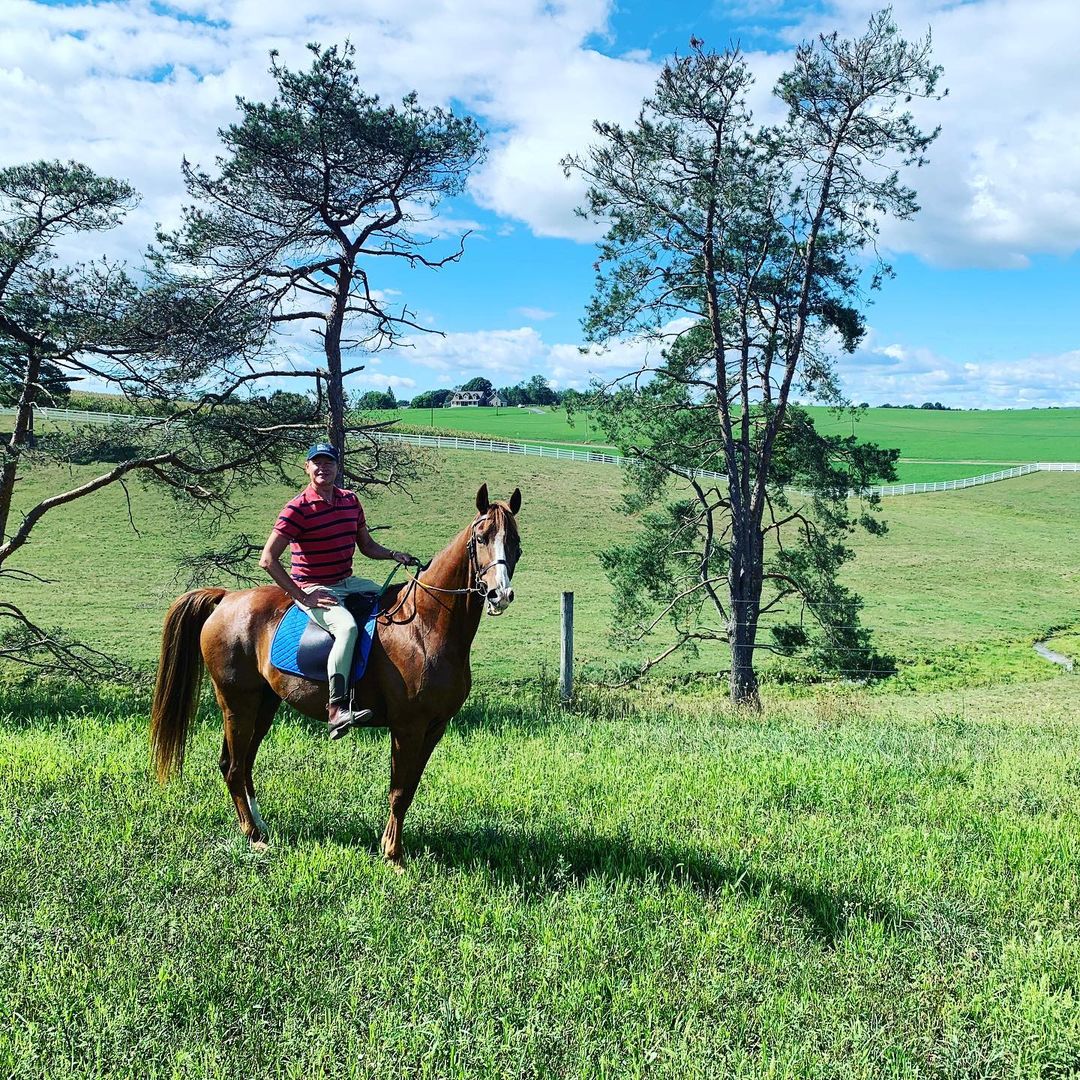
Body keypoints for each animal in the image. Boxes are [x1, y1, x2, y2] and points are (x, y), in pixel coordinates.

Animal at [150, 483, 522, 863]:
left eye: (515, 542)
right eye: (481, 537)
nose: (500, 595)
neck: (424, 625)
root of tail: (226, 598)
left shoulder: (435, 727)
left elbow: (410, 787)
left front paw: (391, 848)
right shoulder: (408, 726)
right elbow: (399, 790)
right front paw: (393, 855)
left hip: (264, 706)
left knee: (237, 764)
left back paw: (260, 825)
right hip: (238, 705)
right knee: (236, 767)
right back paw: (254, 836)